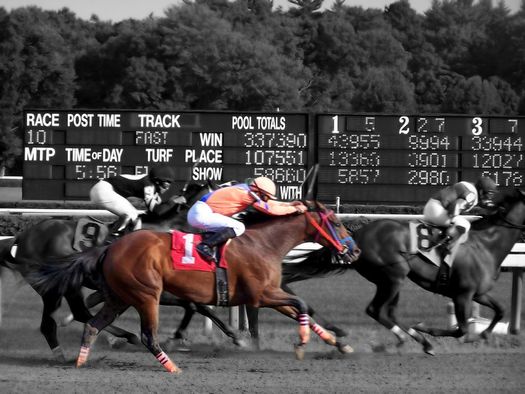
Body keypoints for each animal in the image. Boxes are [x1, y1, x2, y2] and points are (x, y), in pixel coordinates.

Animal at [30, 202, 354, 370]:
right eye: (337, 223)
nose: (354, 251)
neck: (264, 244)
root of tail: (110, 247)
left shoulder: (269, 293)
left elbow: (301, 309)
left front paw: (338, 342)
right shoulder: (261, 295)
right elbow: (300, 305)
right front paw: (301, 344)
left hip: (121, 297)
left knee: (92, 323)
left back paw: (81, 360)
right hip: (146, 295)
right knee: (146, 334)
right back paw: (171, 366)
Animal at [348, 188, 524, 354]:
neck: (486, 245)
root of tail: (357, 234)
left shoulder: (478, 294)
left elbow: (500, 310)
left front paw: (484, 334)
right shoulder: (463, 295)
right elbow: (462, 330)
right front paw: (426, 328)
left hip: (387, 280)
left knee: (390, 312)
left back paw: (419, 341)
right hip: (394, 275)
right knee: (375, 310)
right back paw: (411, 339)